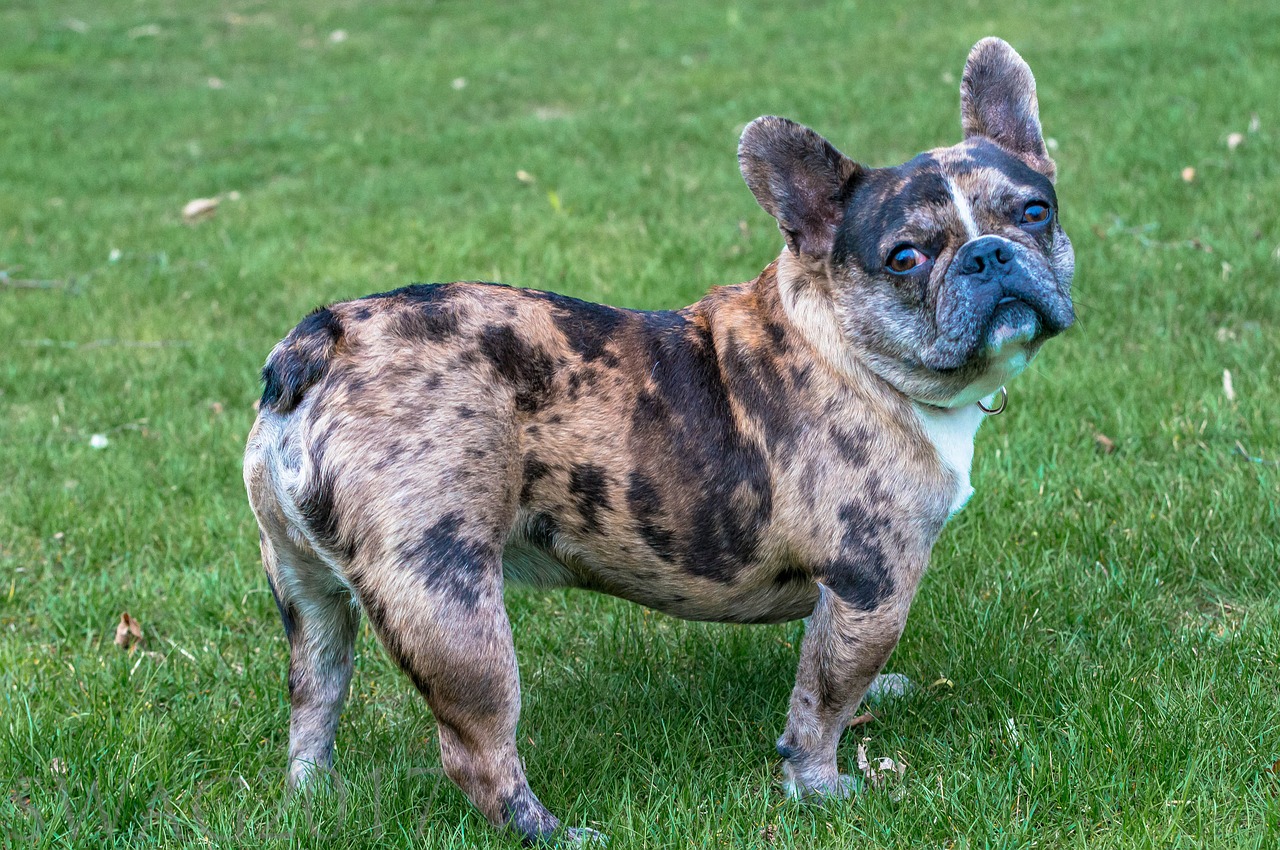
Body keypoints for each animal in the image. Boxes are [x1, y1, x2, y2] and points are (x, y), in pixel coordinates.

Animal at [244, 38, 1075, 844]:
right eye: (906, 256)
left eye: (1036, 212)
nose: (989, 254)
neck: (845, 341)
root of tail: (324, 339)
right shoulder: (872, 584)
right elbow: (824, 700)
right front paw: (820, 786)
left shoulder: (845, 596)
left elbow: (824, 663)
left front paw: (878, 695)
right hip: (449, 600)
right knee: (476, 748)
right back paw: (549, 830)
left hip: (306, 593)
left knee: (314, 697)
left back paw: (315, 795)